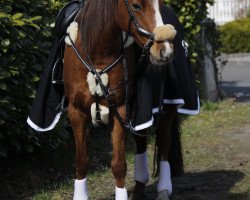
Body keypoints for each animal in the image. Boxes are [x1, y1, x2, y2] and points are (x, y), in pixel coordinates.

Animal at [62, 0, 182, 199]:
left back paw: (164, 189)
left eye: (160, 4)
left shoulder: (119, 110)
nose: (165, 51)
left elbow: (118, 165)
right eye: (136, 6)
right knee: (141, 142)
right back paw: (139, 189)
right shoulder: (76, 112)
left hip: (166, 109)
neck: (97, 53)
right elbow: (81, 161)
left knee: (164, 141)